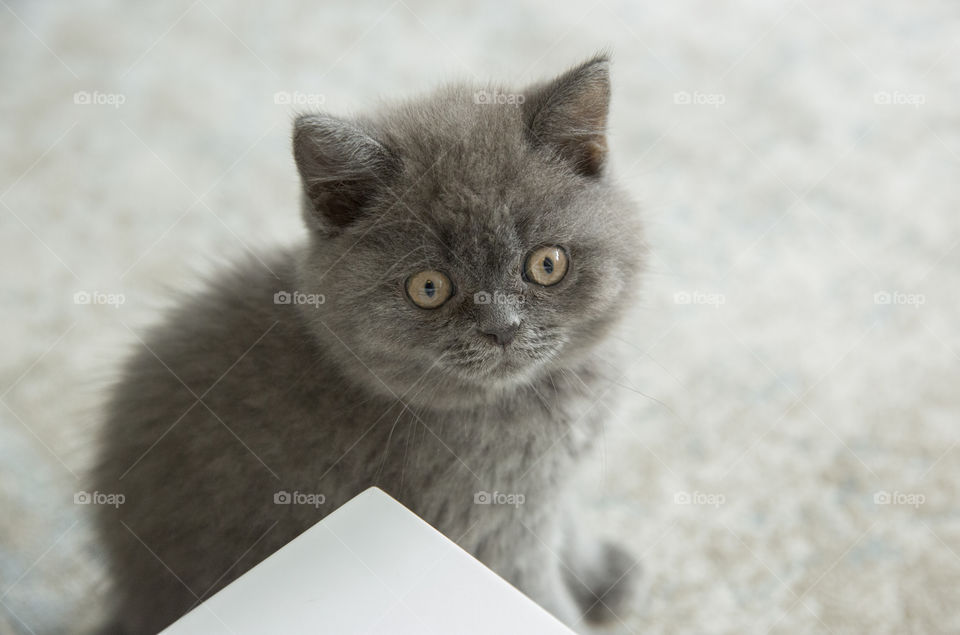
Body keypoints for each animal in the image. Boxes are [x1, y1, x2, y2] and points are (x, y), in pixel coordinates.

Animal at [94, 54, 644, 632]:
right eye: (429, 288)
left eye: (546, 264)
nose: (503, 328)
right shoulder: (487, 519)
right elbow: (533, 590)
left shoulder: (551, 486)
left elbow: (569, 523)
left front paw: (603, 577)